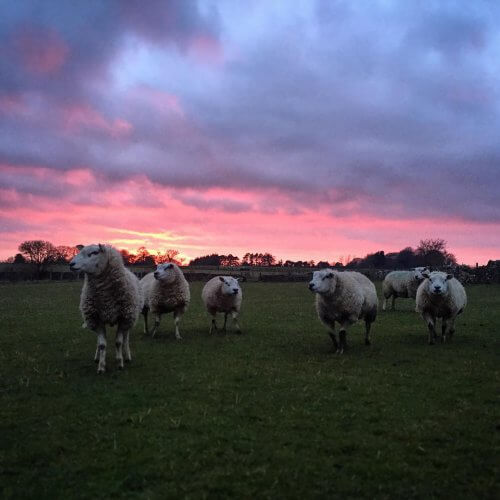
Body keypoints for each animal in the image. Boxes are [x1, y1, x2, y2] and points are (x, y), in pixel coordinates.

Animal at [68, 244, 143, 374]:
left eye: (94, 253)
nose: (71, 264)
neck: (105, 297)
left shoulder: (123, 318)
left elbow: (118, 342)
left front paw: (120, 363)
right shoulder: (96, 319)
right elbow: (102, 344)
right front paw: (101, 366)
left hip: (130, 317)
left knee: (126, 338)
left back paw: (127, 356)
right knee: (99, 342)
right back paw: (97, 358)